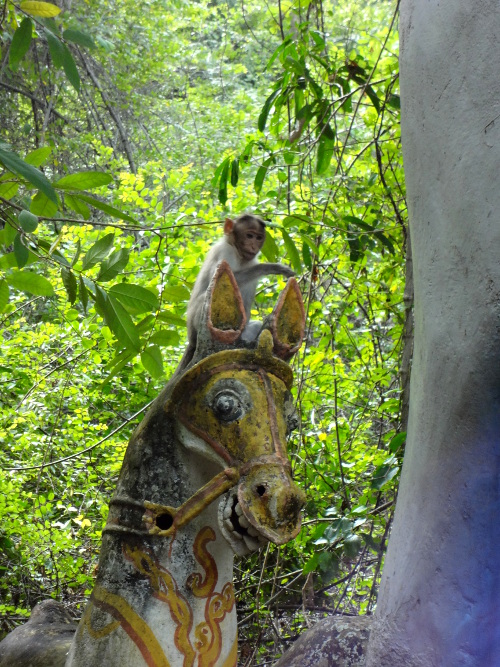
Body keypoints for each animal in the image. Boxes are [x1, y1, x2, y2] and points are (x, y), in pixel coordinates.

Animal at [188, 213, 296, 350]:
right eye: (249, 236)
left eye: (259, 238)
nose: (253, 246)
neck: (238, 254)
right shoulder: (225, 251)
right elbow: (221, 275)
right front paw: (270, 267)